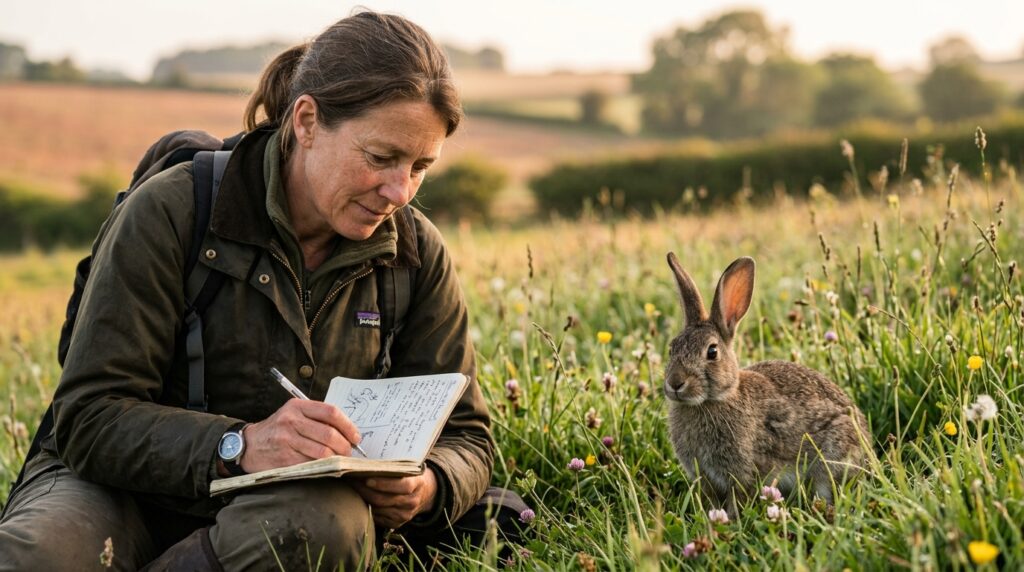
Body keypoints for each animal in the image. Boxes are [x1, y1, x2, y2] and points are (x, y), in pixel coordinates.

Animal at [663, 252, 868, 515]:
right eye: (672, 348)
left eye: (712, 352)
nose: (675, 383)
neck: (713, 401)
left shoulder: (744, 472)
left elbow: (737, 499)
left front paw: (731, 519)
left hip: (831, 460)